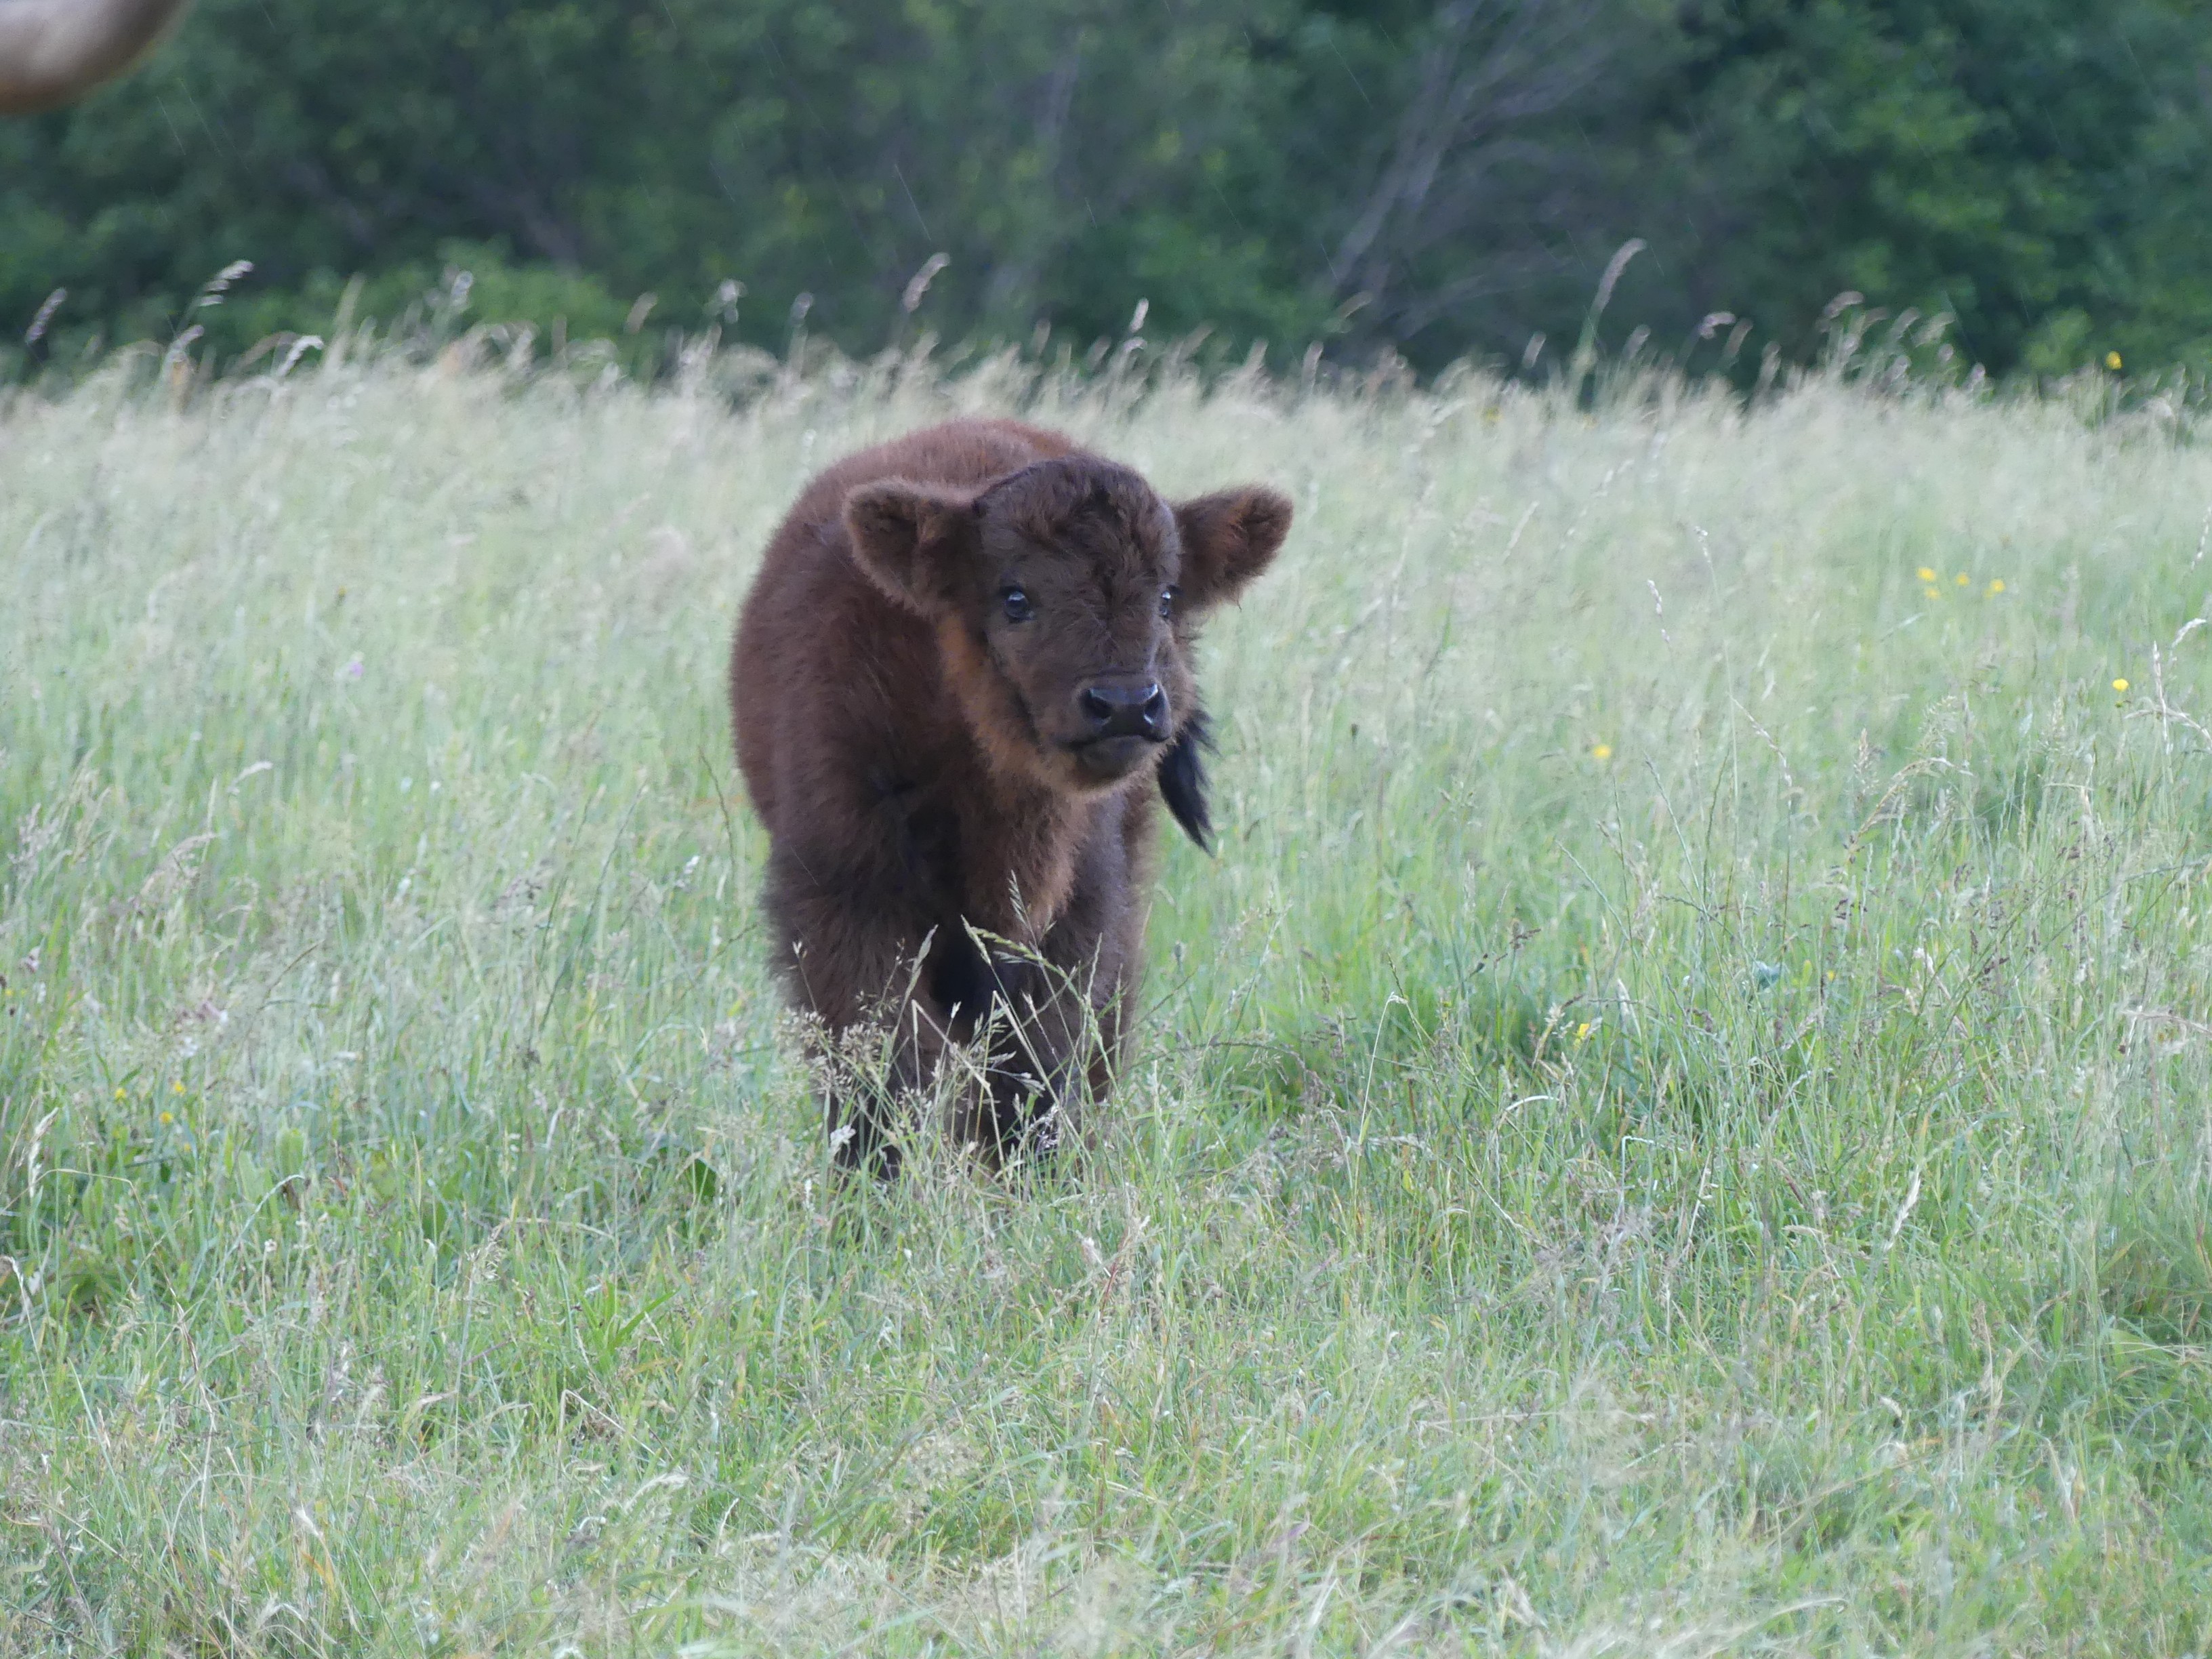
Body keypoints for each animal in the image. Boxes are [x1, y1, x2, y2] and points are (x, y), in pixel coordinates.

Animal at [734, 422, 1292, 1176]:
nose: (1125, 704)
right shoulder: (844, 898)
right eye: (1016, 598)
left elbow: (1038, 1067)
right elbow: (883, 1066)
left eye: (1168, 598)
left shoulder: (1079, 916)